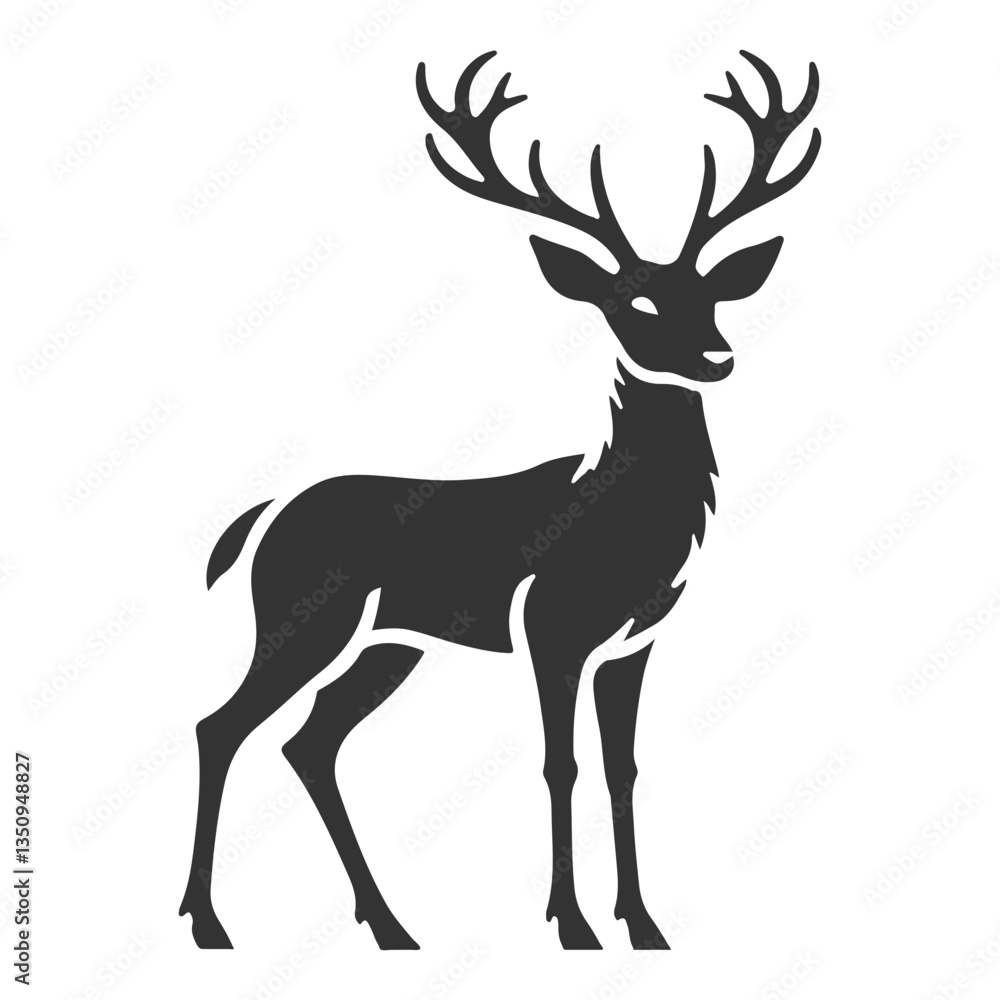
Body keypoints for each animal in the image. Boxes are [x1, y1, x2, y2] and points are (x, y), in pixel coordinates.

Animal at [179, 49, 820, 952]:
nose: (717, 356)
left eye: (713, 296)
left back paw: (390, 924)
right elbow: (561, 764)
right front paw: (572, 925)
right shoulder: (552, 628)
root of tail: (264, 518)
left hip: (390, 644)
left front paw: (644, 924)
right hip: (303, 617)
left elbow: (622, 766)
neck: (622, 523)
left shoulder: (635, 641)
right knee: (222, 725)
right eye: (635, 302)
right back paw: (209, 923)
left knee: (309, 742)